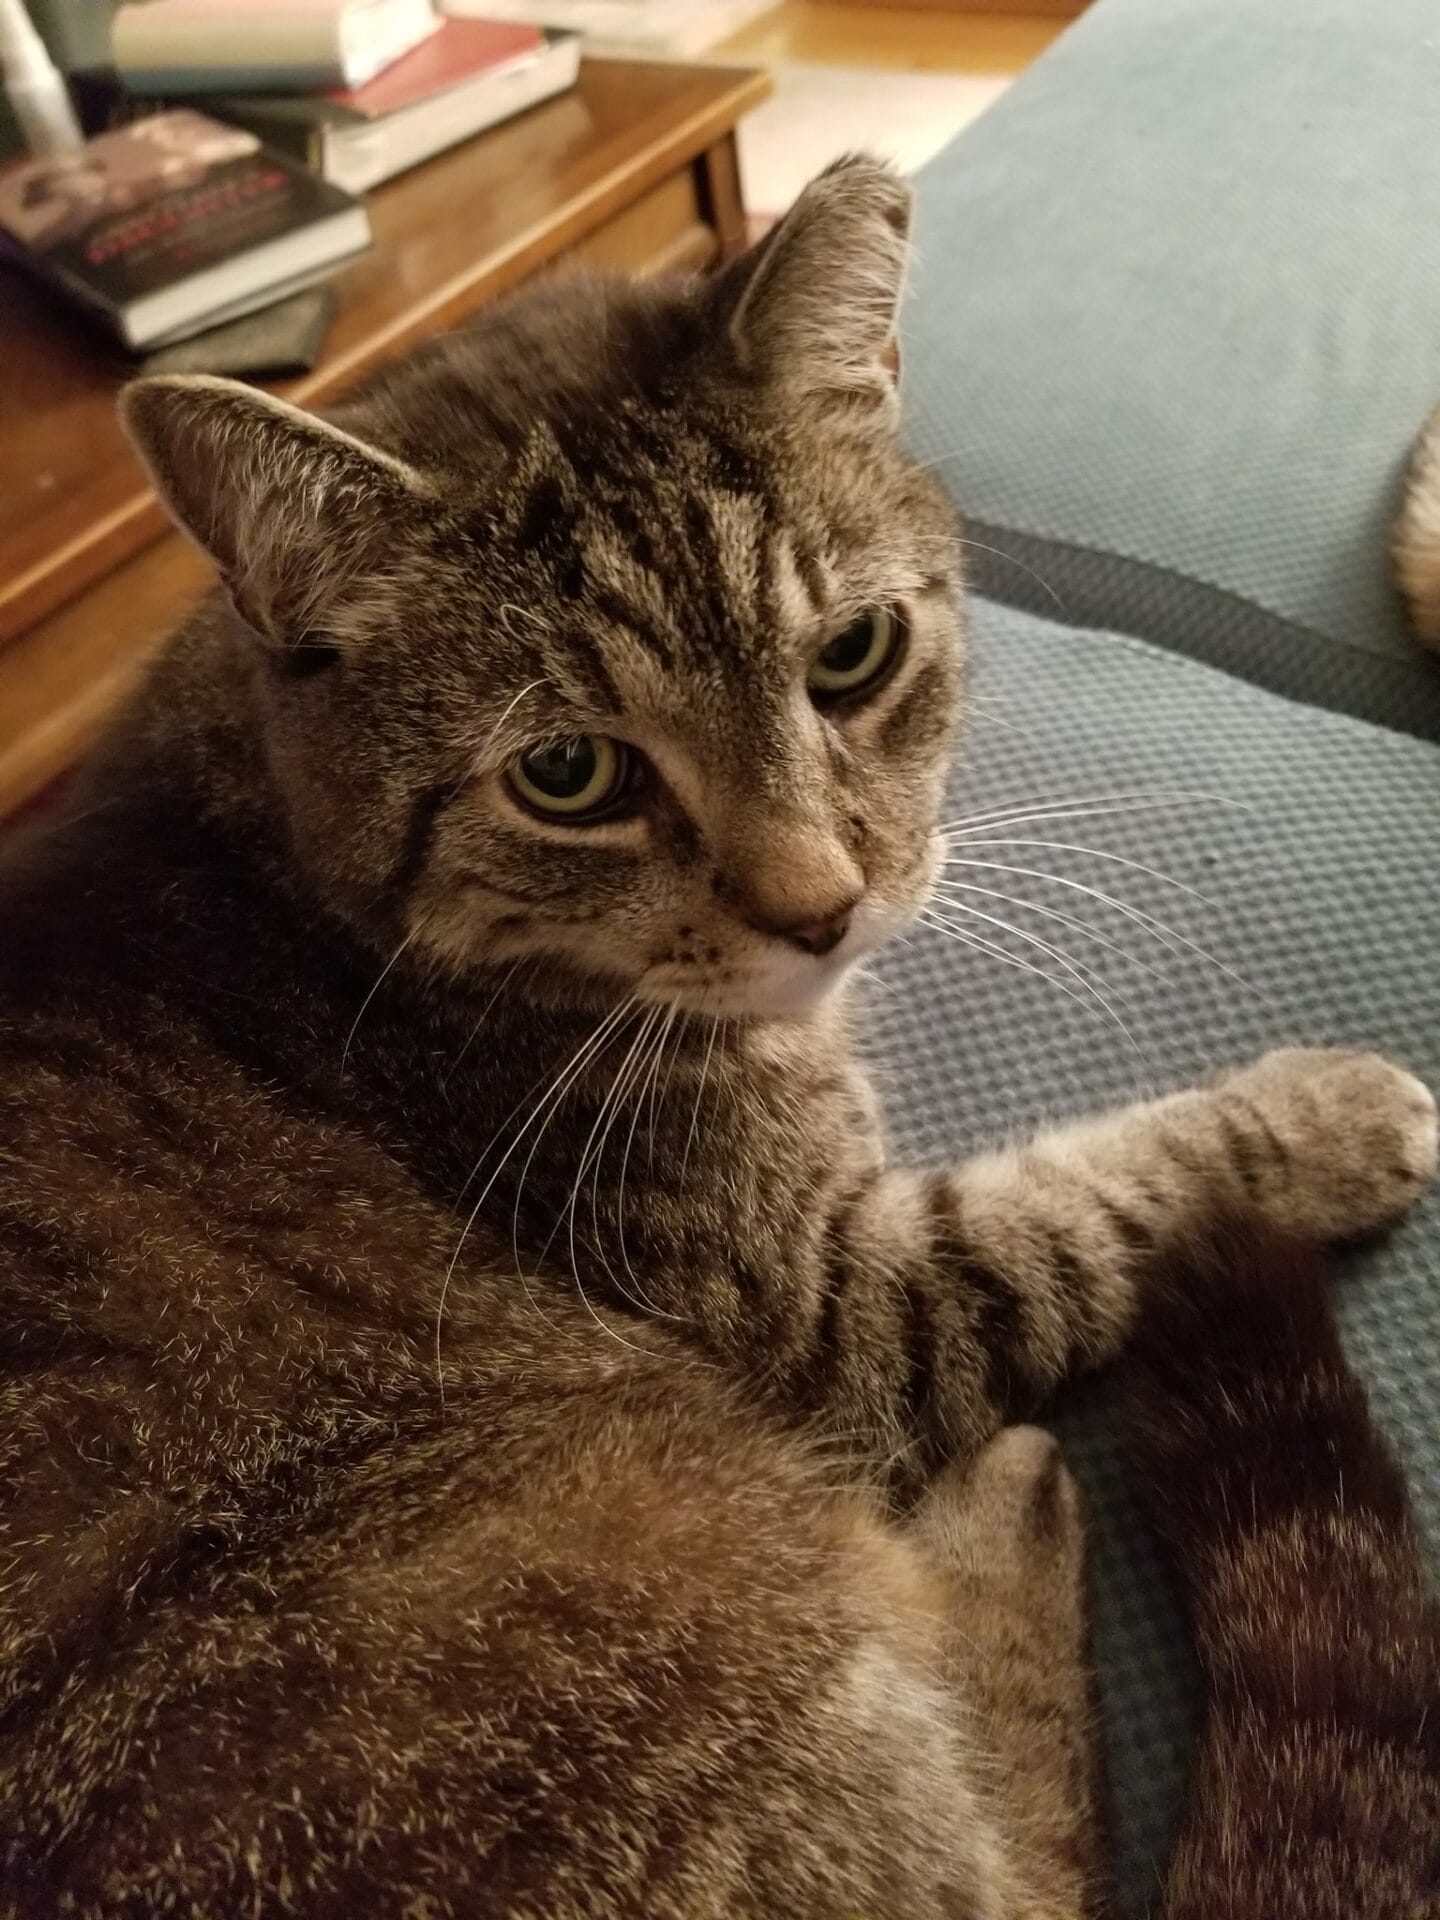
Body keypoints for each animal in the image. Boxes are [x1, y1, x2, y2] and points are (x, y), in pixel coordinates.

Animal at [1, 154, 1436, 1917]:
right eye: (568, 775)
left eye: (852, 657)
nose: (821, 909)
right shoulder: (832, 1308)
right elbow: (1091, 1210)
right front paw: (1330, 1117)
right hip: (687, 1602)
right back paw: (1004, 1506)